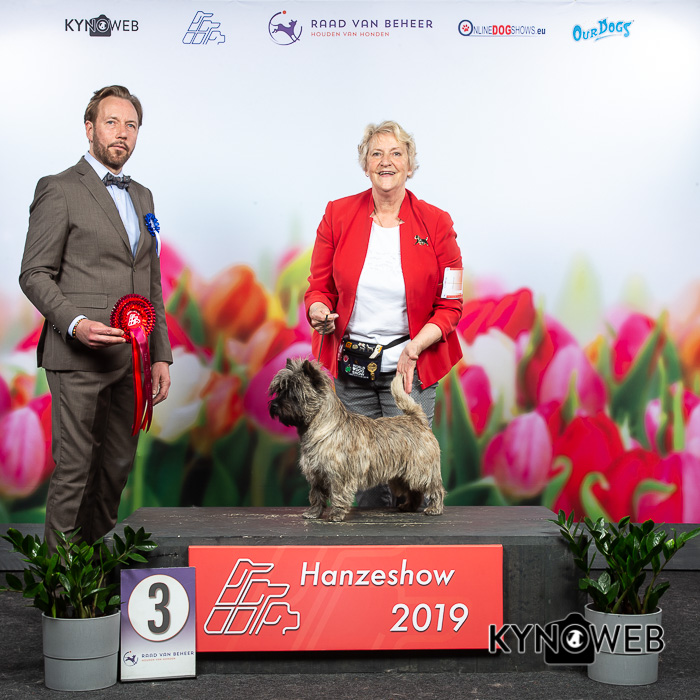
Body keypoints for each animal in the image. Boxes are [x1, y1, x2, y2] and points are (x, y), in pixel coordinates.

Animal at [268, 358, 445, 522]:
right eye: (279, 390)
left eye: (294, 393)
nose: (274, 406)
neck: (322, 427)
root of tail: (417, 420)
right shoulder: (316, 475)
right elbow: (316, 496)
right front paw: (313, 513)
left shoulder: (338, 475)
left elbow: (337, 495)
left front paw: (336, 514)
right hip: (402, 476)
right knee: (414, 491)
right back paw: (409, 506)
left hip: (421, 471)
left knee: (435, 488)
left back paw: (434, 508)